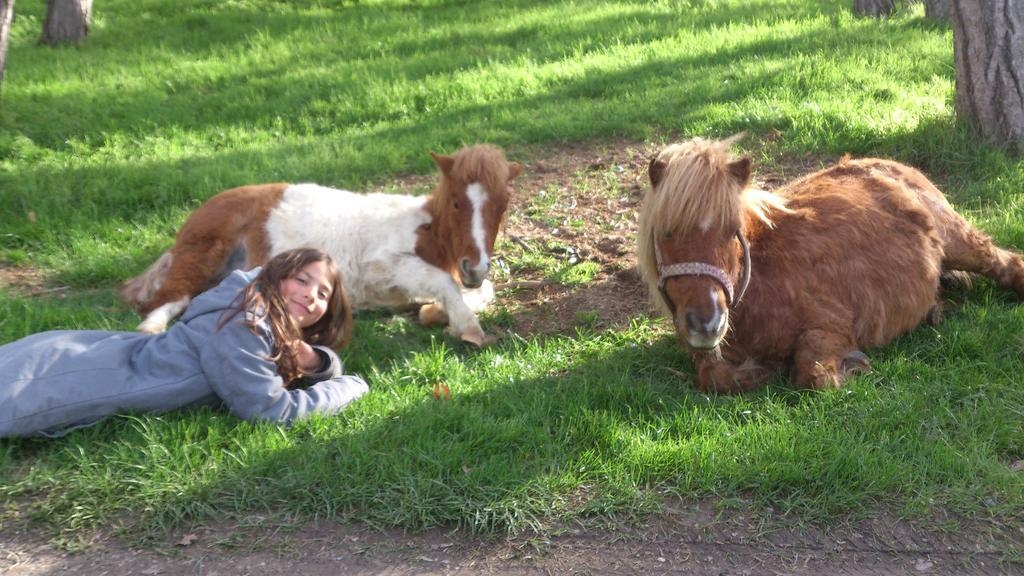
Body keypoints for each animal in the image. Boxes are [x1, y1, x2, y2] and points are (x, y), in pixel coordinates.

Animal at [123, 142, 524, 342]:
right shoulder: (385, 266)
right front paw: (469, 329)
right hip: (201, 253)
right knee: (173, 297)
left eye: (503, 204)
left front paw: (436, 313)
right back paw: (150, 329)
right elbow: (445, 284)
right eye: (456, 202)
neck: (425, 232)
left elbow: (480, 292)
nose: (475, 267)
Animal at [638, 135, 1024, 389]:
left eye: (732, 232)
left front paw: (853, 365)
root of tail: (894, 167)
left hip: (963, 243)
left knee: (1008, 266)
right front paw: (758, 372)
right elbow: (713, 376)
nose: (707, 323)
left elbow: (814, 376)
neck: (762, 278)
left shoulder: (831, 327)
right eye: (666, 233)